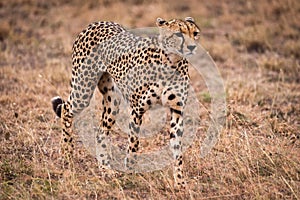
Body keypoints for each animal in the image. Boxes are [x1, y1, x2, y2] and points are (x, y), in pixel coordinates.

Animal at [51, 16, 200, 188]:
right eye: (178, 34)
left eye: (195, 33)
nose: (192, 47)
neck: (171, 62)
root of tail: (97, 22)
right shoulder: (137, 109)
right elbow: (134, 144)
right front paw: (131, 171)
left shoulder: (177, 111)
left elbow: (177, 149)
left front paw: (180, 182)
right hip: (83, 90)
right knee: (66, 109)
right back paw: (66, 153)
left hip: (113, 100)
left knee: (101, 131)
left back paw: (105, 168)